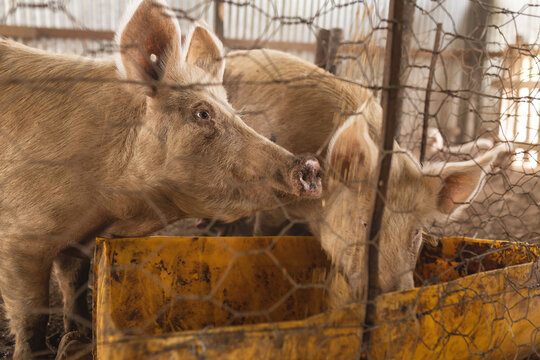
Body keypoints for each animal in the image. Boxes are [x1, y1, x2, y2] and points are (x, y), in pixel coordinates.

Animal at [0, 2, 320, 358]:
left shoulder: (79, 239)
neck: (113, 207)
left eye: (234, 111)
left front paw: (81, 335)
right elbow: (32, 314)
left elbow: (75, 285)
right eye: (202, 113)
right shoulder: (20, 239)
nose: (310, 163)